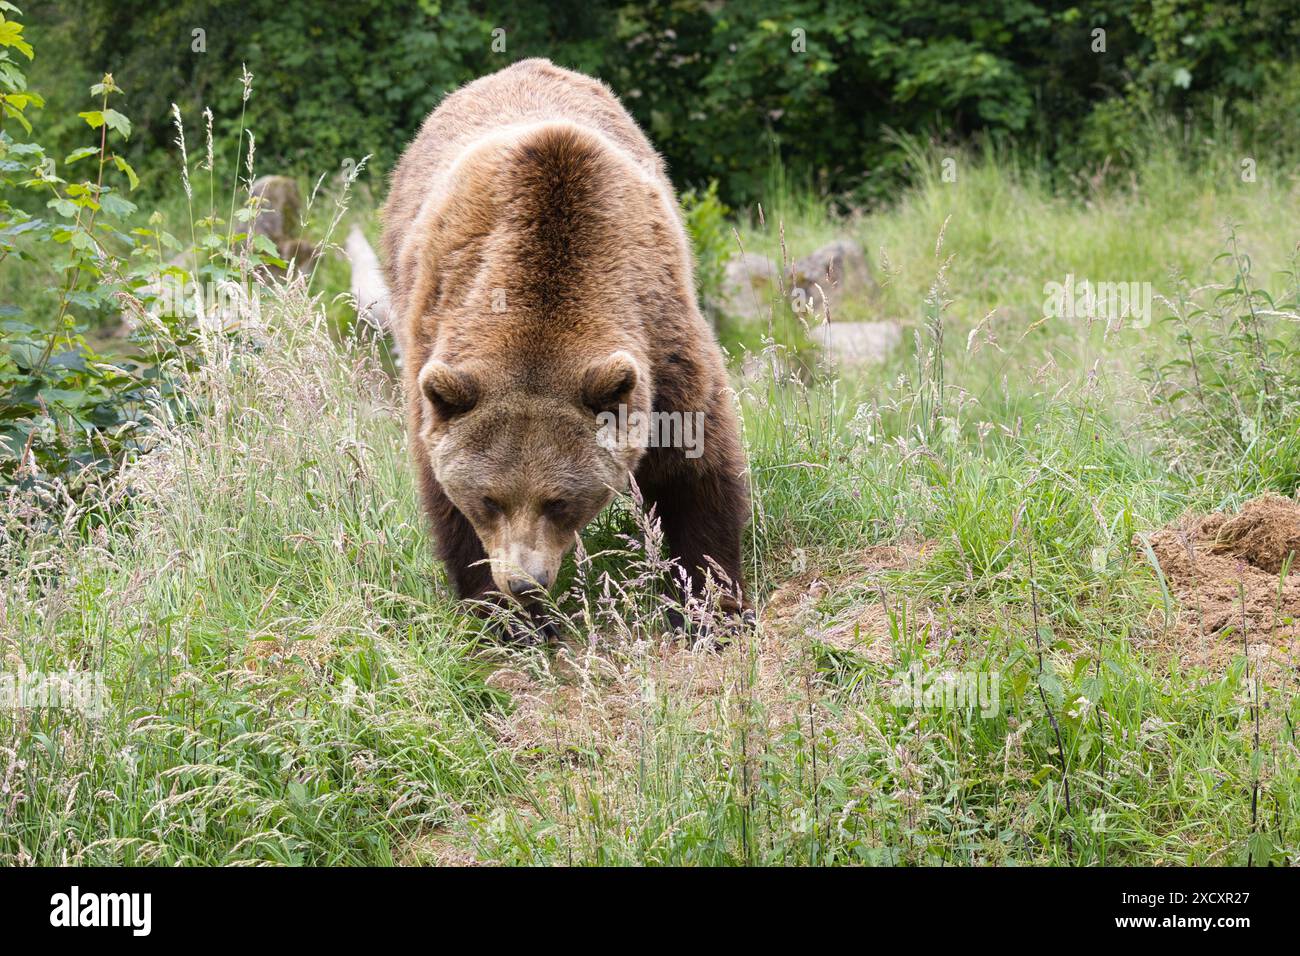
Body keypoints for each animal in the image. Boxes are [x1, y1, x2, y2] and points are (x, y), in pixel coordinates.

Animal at [381, 58, 749, 634]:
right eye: (488, 499)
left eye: (559, 501)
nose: (525, 582)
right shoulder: (435, 343)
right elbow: (447, 506)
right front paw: (507, 621)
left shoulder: (661, 341)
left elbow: (697, 470)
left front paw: (713, 610)